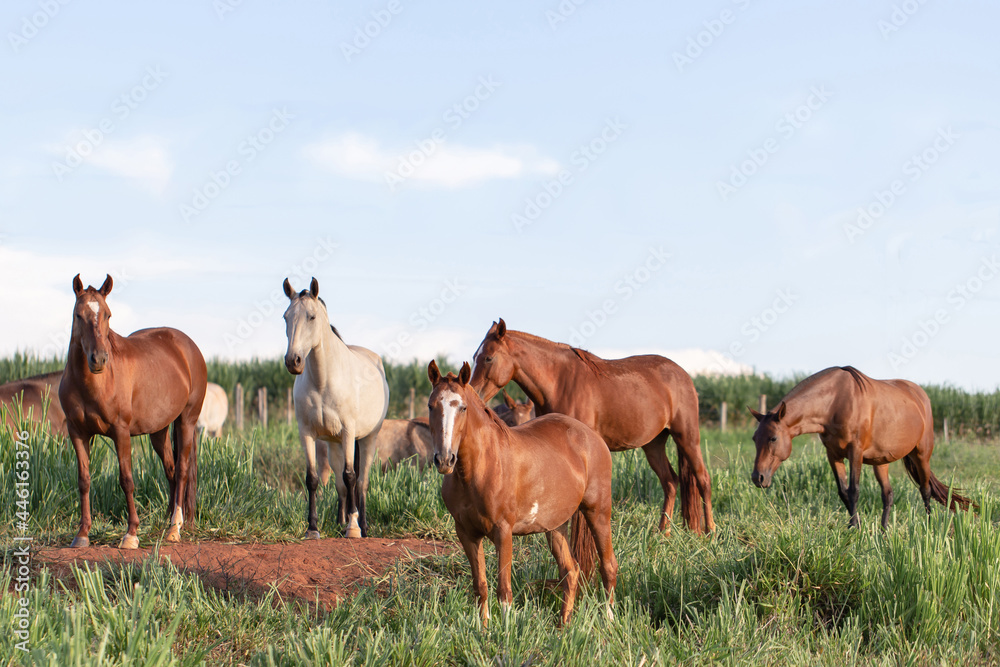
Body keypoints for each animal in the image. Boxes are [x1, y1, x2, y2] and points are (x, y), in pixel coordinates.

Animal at [57, 274, 206, 552]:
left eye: (107, 314)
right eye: (78, 315)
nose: (99, 359)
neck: (94, 383)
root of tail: (188, 347)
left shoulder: (121, 432)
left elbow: (126, 479)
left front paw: (131, 534)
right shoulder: (77, 432)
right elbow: (84, 480)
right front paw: (82, 534)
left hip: (186, 422)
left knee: (181, 470)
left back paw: (174, 528)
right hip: (159, 431)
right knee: (170, 470)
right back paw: (169, 521)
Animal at [286, 280, 390, 540]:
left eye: (311, 316)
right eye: (285, 317)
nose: (293, 361)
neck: (323, 381)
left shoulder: (348, 432)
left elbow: (351, 476)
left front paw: (353, 527)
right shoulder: (307, 434)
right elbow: (313, 479)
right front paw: (313, 528)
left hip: (367, 439)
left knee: (361, 481)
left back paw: (361, 525)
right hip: (333, 444)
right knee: (340, 486)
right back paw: (340, 521)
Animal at [430, 360, 616, 628]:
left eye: (463, 407)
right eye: (431, 406)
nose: (445, 459)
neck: (479, 468)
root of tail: (593, 438)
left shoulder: (503, 532)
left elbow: (504, 590)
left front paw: (506, 632)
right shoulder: (467, 534)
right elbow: (480, 586)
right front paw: (483, 630)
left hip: (598, 513)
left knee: (608, 567)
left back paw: (609, 622)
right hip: (555, 527)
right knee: (570, 572)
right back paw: (563, 627)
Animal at [752, 368, 976, 528]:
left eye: (773, 438)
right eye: (754, 438)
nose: (758, 478)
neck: (836, 401)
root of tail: (921, 396)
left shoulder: (855, 452)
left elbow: (854, 491)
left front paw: (854, 530)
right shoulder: (833, 454)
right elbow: (843, 492)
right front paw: (856, 524)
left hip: (921, 455)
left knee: (925, 490)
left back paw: (929, 527)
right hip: (881, 461)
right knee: (888, 494)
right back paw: (884, 532)